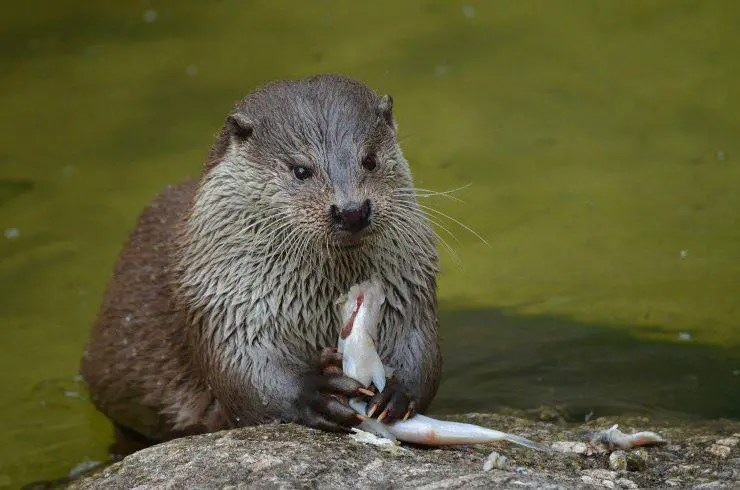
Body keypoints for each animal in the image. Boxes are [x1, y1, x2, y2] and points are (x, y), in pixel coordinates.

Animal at [81, 72, 440, 444]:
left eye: (369, 160)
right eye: (300, 170)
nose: (351, 211)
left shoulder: (408, 287)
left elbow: (420, 347)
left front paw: (397, 392)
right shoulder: (223, 300)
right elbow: (245, 373)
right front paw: (314, 391)